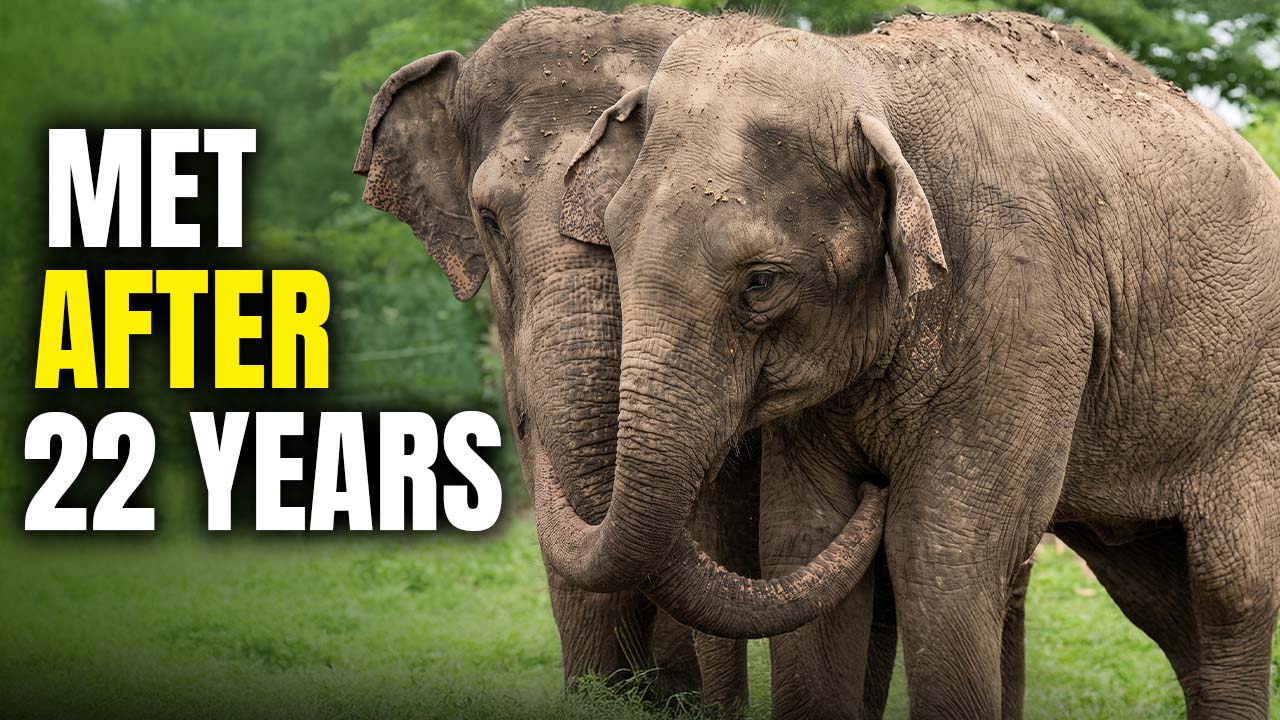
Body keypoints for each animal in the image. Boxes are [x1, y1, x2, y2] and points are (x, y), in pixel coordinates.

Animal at [547, 10, 1280, 719]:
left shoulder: (1027, 306)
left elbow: (943, 550)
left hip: (1254, 404)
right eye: (611, 240)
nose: (878, 488)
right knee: (1157, 593)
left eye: (760, 282)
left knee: (1230, 587)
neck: (869, 75)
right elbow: (803, 533)